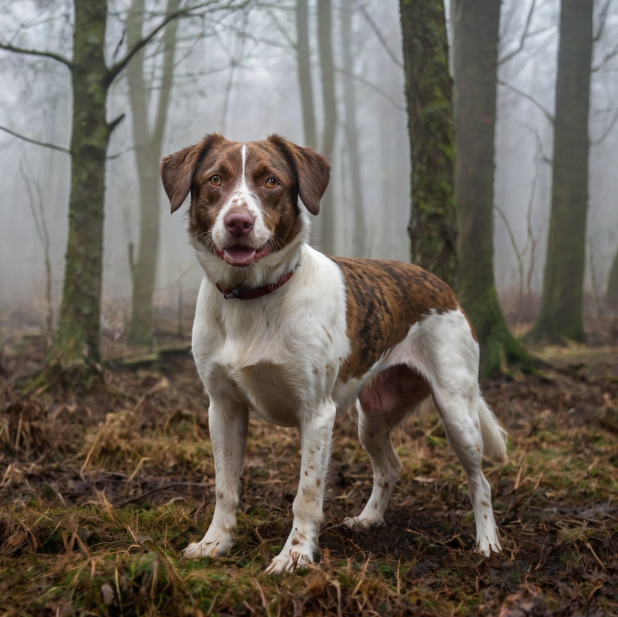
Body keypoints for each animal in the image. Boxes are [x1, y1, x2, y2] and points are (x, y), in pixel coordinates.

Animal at [160, 134, 506, 572]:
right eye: (215, 179)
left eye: (271, 181)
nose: (239, 222)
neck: (254, 296)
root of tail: (440, 284)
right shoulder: (223, 408)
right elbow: (225, 486)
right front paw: (215, 543)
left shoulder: (317, 414)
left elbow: (306, 495)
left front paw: (295, 555)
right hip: (373, 414)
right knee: (390, 466)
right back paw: (369, 519)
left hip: (457, 411)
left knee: (482, 482)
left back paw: (488, 542)